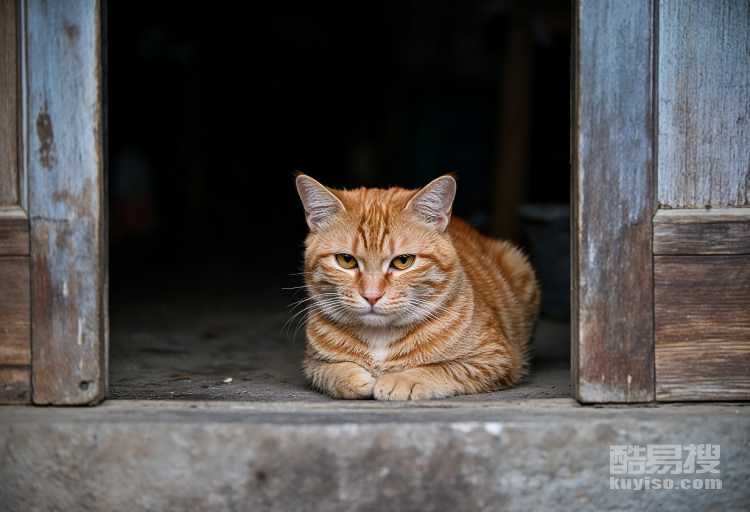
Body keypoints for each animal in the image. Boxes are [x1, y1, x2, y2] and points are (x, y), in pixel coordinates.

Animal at [295, 174, 540, 400]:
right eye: (346, 260)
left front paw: (402, 380)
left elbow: (443, 368)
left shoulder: (493, 358)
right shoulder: (312, 362)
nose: (372, 296)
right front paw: (351, 377)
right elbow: (329, 371)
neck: (379, 337)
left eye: (403, 261)